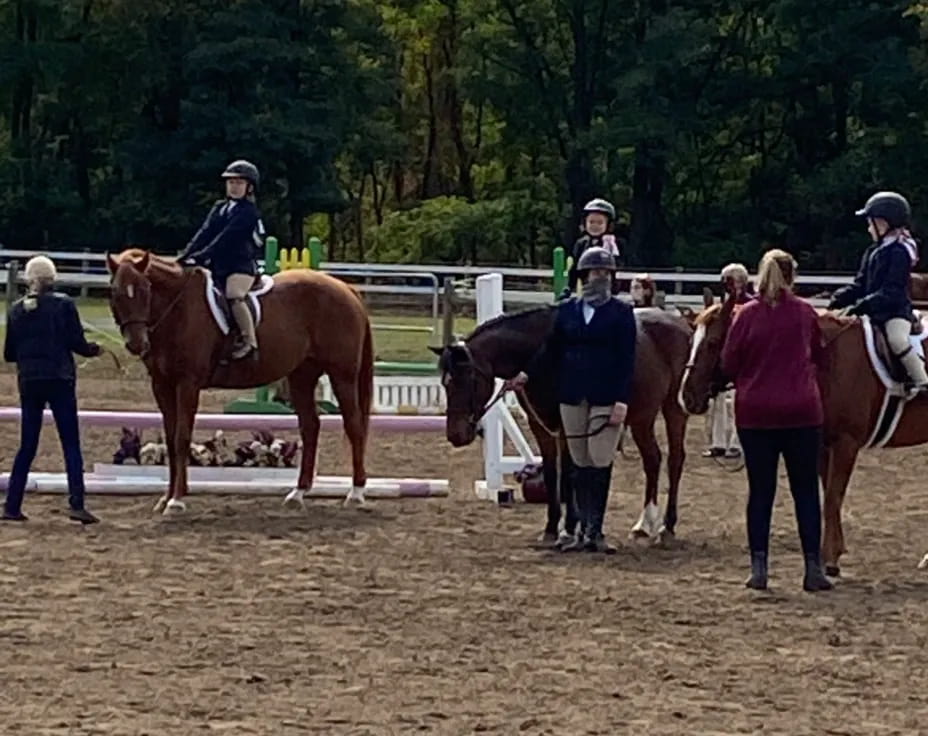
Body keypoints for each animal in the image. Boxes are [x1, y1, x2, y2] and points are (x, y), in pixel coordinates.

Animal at [104, 250, 374, 516]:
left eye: (144, 289)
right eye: (115, 291)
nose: (137, 344)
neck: (177, 308)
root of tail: (344, 288)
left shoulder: (188, 384)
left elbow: (182, 438)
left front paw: (176, 501)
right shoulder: (162, 385)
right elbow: (170, 441)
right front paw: (166, 498)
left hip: (342, 375)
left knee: (354, 426)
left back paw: (355, 494)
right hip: (302, 376)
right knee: (310, 427)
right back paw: (297, 494)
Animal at [432, 304, 692, 540]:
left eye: (468, 379)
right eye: (445, 382)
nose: (455, 435)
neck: (545, 355)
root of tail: (680, 323)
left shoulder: (568, 424)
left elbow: (569, 474)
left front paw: (569, 527)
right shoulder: (540, 425)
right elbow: (550, 471)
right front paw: (551, 528)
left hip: (673, 409)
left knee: (675, 460)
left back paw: (667, 524)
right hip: (641, 417)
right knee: (652, 460)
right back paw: (644, 524)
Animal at [676, 290, 928, 576]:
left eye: (713, 342)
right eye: (691, 339)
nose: (686, 397)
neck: (826, 358)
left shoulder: (846, 443)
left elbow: (832, 498)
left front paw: (829, 561)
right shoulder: (823, 445)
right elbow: (828, 496)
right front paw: (832, 553)